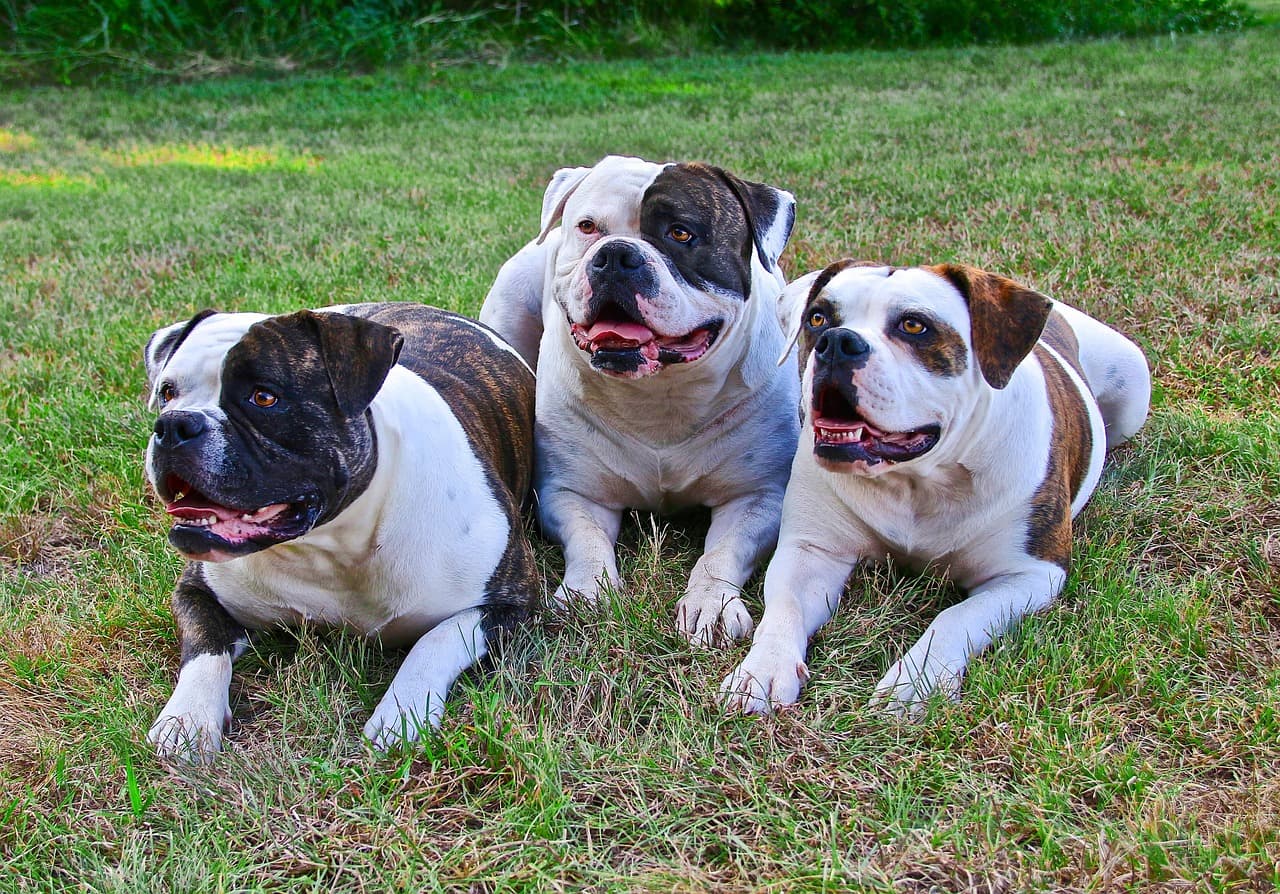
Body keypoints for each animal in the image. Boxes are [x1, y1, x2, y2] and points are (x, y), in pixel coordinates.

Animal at [141, 303, 535, 753]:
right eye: (167, 392)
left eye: (264, 397)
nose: (173, 425)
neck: (330, 548)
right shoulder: (196, 591)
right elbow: (205, 649)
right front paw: (187, 718)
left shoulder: (509, 604)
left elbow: (434, 641)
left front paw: (401, 712)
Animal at [481, 153, 798, 640]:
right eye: (588, 227)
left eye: (681, 233)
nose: (615, 255)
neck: (659, 394)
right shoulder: (572, 493)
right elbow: (588, 542)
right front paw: (587, 592)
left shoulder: (757, 497)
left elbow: (722, 551)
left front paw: (711, 603)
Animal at [721, 260, 1152, 717]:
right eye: (818, 318)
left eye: (914, 325)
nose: (837, 342)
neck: (916, 480)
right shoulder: (812, 552)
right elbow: (783, 609)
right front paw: (763, 671)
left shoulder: (1029, 574)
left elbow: (955, 618)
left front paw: (914, 682)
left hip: (1133, 386)